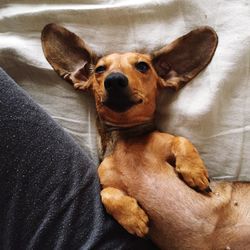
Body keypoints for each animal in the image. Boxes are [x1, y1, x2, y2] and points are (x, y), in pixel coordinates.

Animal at [41, 23, 250, 250]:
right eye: (99, 69)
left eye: (142, 66)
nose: (114, 80)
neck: (126, 137)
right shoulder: (106, 180)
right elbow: (106, 194)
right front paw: (133, 218)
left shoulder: (167, 142)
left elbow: (182, 140)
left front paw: (194, 171)